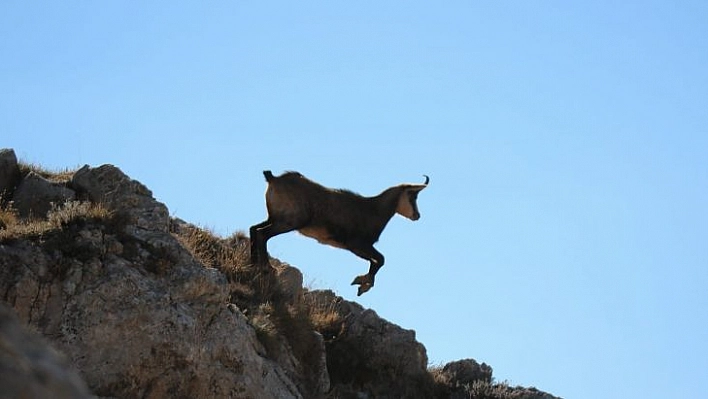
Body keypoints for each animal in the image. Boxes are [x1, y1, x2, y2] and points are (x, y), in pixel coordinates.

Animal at [250, 170, 426, 296]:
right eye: (413, 196)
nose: (417, 215)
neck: (374, 210)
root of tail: (273, 179)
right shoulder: (357, 244)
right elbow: (380, 260)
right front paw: (362, 284)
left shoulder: (355, 247)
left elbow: (376, 261)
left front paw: (362, 283)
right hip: (290, 221)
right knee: (262, 233)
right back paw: (267, 267)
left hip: (275, 218)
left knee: (254, 229)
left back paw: (253, 262)